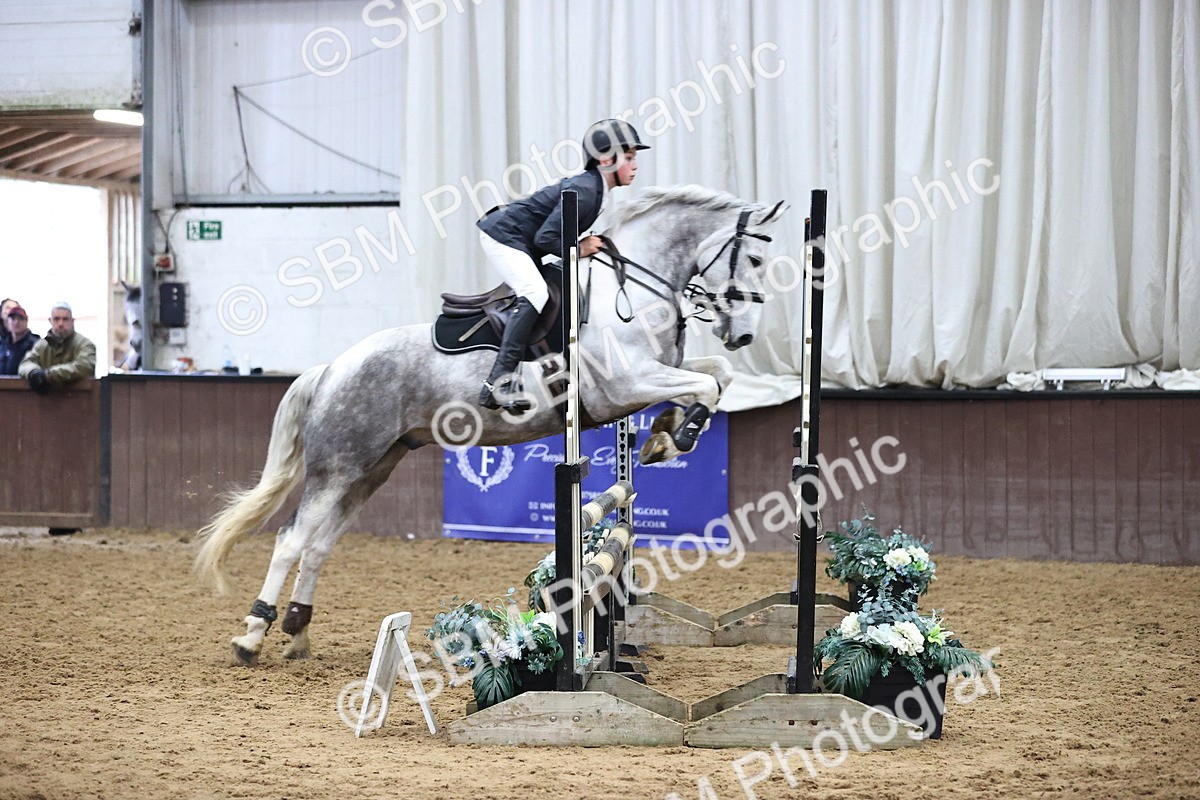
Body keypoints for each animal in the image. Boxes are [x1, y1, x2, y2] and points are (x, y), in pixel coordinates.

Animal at [194, 184, 789, 665]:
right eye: (756, 258)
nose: (743, 334)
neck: (636, 287)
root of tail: (332, 367)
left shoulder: (654, 377)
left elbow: (717, 376)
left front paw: (664, 434)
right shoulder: (627, 385)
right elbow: (707, 386)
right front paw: (676, 435)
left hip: (373, 469)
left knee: (317, 546)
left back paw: (297, 633)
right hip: (337, 468)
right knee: (291, 541)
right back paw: (251, 636)